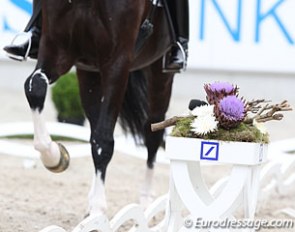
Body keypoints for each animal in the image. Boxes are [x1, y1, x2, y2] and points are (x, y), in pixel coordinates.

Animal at [25, 0, 176, 216]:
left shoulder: (117, 64)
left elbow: (104, 140)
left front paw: (98, 209)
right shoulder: (56, 49)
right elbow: (34, 87)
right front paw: (54, 157)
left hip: (160, 73)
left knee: (153, 130)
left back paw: (146, 201)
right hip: (89, 73)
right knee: (95, 129)